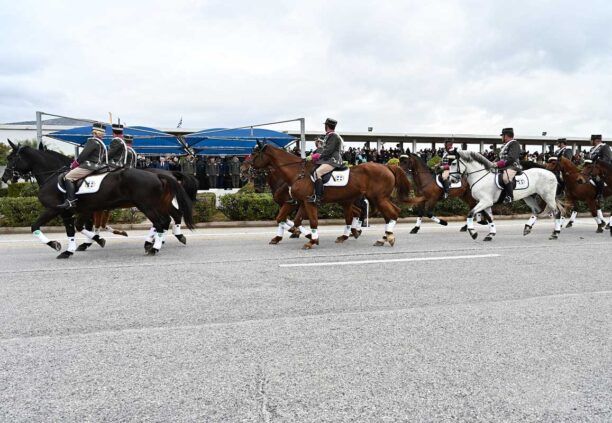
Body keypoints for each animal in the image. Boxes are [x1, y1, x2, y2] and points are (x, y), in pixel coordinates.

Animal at [1, 142, 194, 258]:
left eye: (11, 158)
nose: (4, 177)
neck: (53, 176)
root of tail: (161, 174)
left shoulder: (56, 209)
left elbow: (37, 226)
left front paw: (57, 245)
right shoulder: (79, 211)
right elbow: (77, 229)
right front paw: (85, 244)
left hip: (147, 206)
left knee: (162, 222)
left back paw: (153, 246)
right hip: (157, 204)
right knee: (169, 219)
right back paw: (164, 240)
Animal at [249, 143, 412, 248]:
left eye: (254, 154)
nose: (248, 170)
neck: (298, 173)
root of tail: (388, 166)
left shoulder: (308, 202)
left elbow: (312, 221)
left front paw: (312, 240)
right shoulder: (301, 202)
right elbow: (291, 220)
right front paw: (302, 235)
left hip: (379, 198)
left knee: (392, 213)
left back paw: (386, 237)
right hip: (372, 199)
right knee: (387, 214)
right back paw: (379, 237)